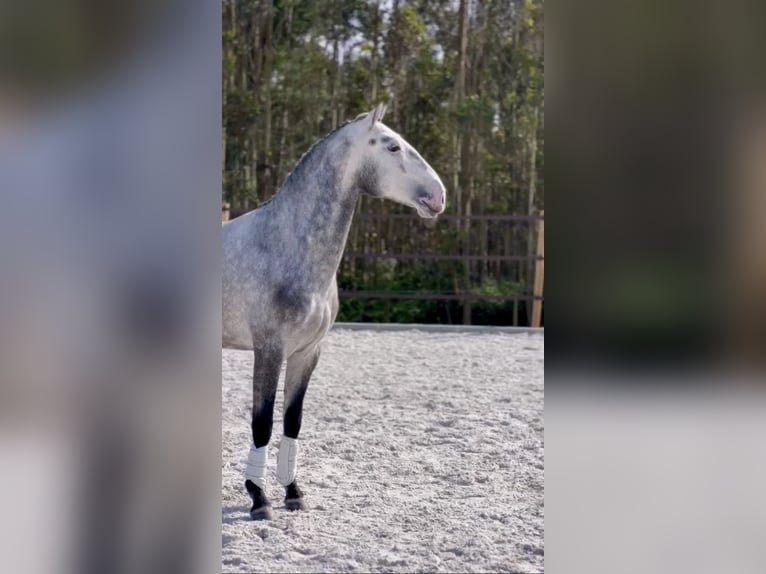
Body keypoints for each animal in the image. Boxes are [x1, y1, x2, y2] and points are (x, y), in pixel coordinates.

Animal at [222, 103, 448, 520]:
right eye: (392, 147)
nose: (439, 197)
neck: (285, 245)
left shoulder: (307, 353)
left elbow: (292, 421)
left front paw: (293, 493)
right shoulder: (269, 349)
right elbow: (262, 423)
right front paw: (259, 499)